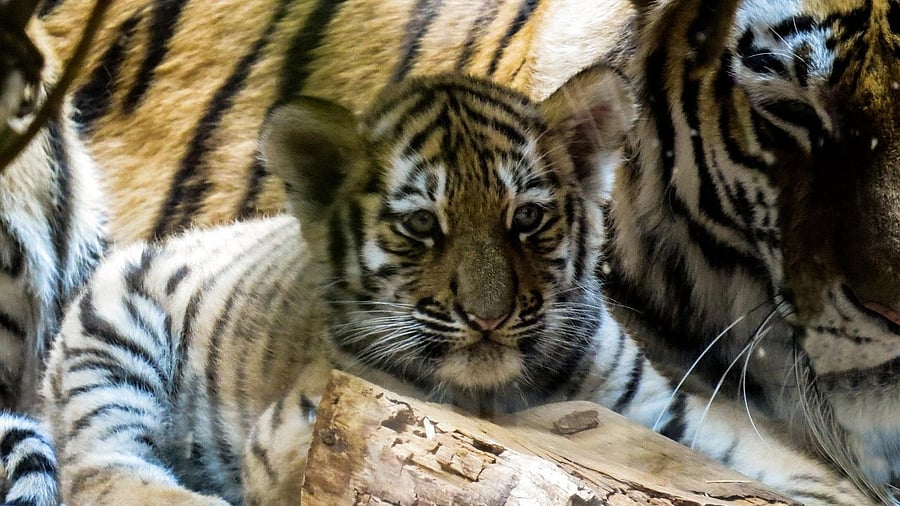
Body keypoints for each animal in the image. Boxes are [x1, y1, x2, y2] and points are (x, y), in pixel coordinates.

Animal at [39, 67, 872, 505]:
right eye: (421, 226)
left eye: (526, 217)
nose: (488, 318)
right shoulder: (312, 417)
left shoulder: (658, 410)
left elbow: (768, 456)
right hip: (110, 343)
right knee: (101, 469)